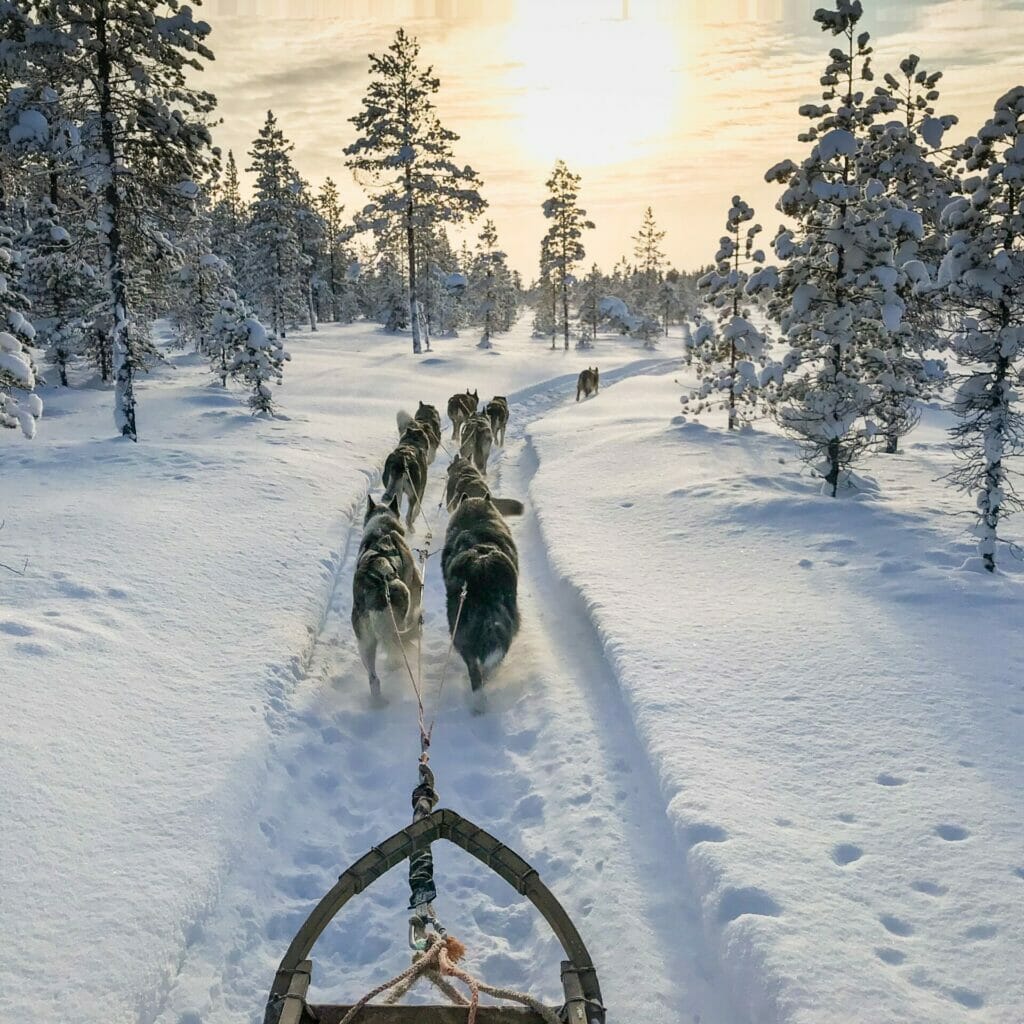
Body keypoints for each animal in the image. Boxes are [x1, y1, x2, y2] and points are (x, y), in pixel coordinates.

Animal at [348, 495, 419, 704]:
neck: (383, 529)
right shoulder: (415, 584)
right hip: (402, 595)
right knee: (396, 650)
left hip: (365, 644)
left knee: (374, 679)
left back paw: (377, 701)